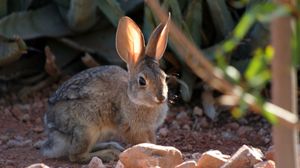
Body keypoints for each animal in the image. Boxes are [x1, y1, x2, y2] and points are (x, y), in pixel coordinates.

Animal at [41, 15, 170, 163]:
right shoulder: (131, 129)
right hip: (87, 129)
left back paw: (112, 146)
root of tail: (53, 131)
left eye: (165, 77)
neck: (134, 100)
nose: (161, 97)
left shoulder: (150, 129)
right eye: (142, 81)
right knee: (75, 155)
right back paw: (109, 154)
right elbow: (142, 142)